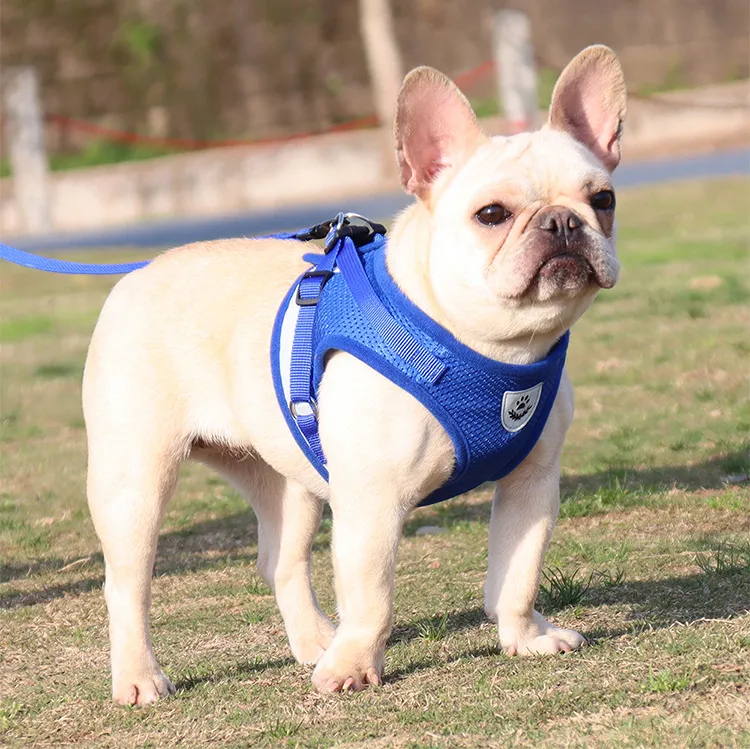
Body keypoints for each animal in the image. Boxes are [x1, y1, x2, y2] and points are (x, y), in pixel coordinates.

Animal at [83, 45, 628, 700]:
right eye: (492, 214)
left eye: (603, 200)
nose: (563, 223)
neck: (493, 346)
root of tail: (136, 274)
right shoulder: (373, 499)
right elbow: (372, 595)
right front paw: (355, 667)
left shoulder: (532, 483)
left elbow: (517, 573)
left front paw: (524, 637)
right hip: (135, 480)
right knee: (127, 584)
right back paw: (141, 677)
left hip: (287, 481)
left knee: (282, 560)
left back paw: (317, 641)